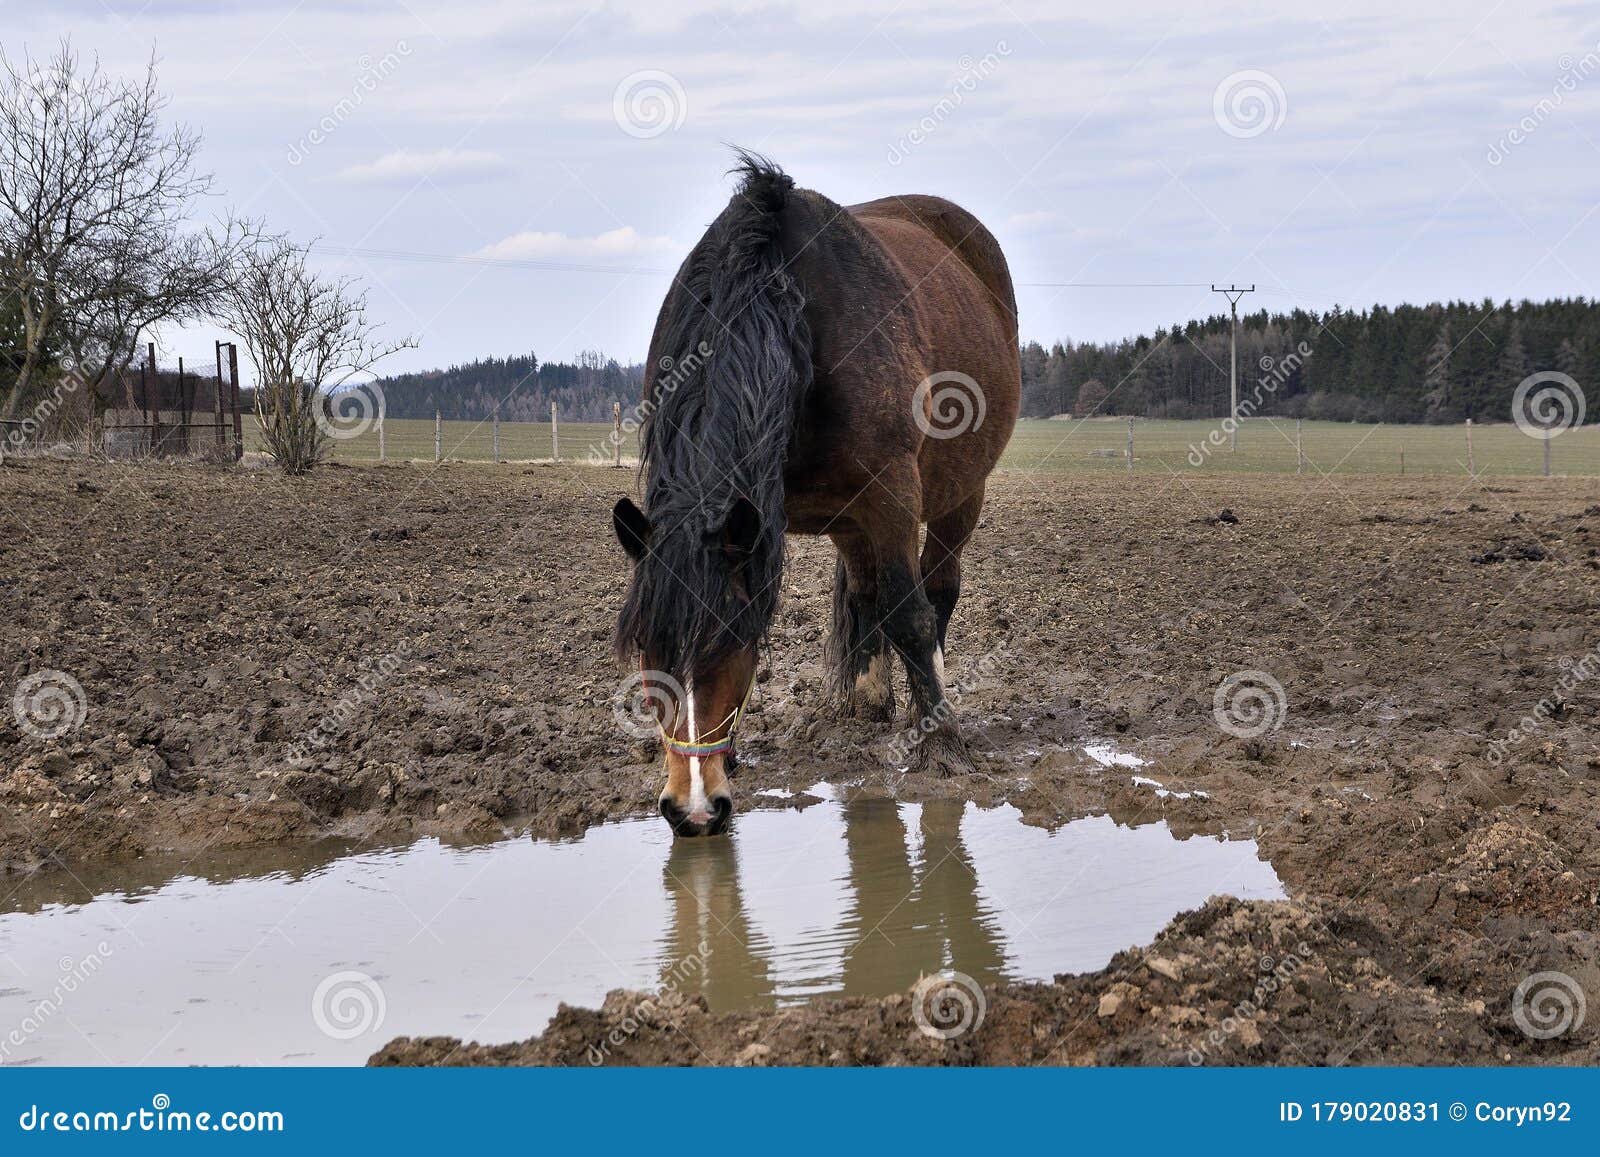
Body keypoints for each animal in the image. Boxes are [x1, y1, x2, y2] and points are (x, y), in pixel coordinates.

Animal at [613, 153, 1020, 837]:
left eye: (731, 641)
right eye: (648, 648)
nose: (691, 810)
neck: (788, 318)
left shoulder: (892, 495)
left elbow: (910, 616)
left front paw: (942, 748)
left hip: (956, 497)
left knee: (935, 591)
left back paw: (926, 710)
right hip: (849, 521)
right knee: (866, 595)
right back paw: (865, 702)